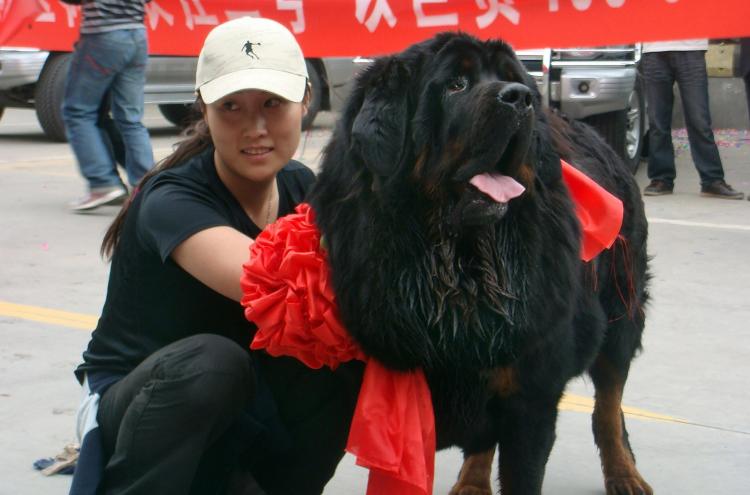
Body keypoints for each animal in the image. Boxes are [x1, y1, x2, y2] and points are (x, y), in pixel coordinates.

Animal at [308, 33, 656, 494]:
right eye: (456, 84)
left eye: (512, 78)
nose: (521, 97)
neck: (457, 268)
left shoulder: (531, 398)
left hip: (621, 314)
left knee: (609, 405)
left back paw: (624, 473)